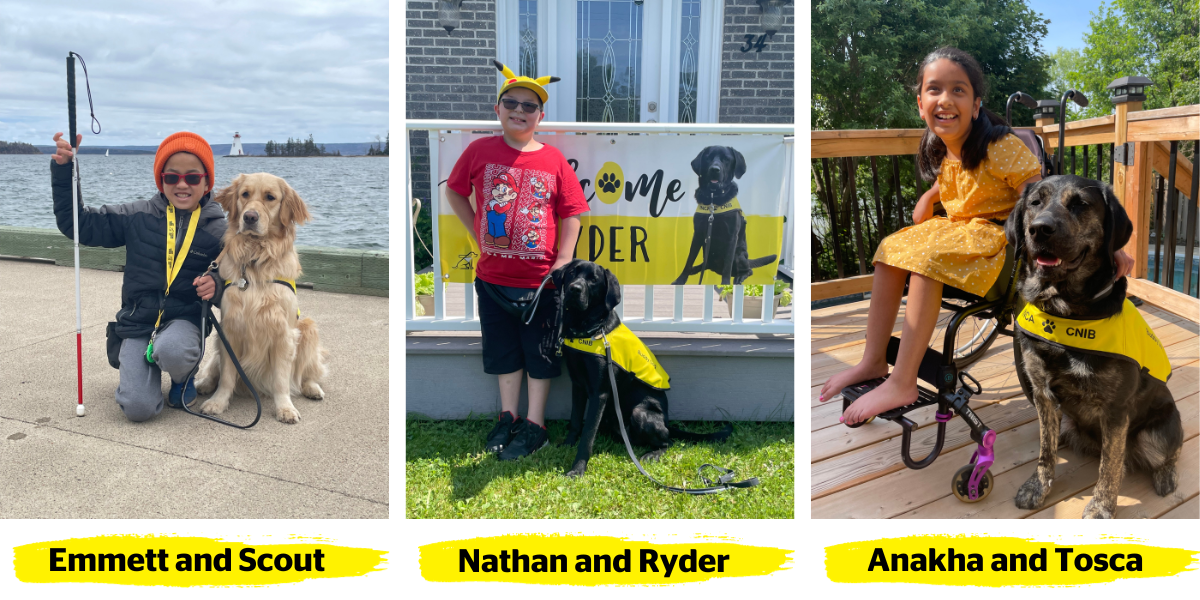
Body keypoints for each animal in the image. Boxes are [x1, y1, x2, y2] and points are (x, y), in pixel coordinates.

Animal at [552, 260, 729, 475]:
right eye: (571, 273)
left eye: (593, 279)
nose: (574, 289)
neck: (589, 328)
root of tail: (667, 422)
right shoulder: (577, 384)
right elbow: (576, 421)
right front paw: (567, 444)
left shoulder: (599, 393)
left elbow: (587, 435)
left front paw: (578, 468)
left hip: (640, 413)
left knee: (668, 442)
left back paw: (652, 454)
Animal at [676, 146, 777, 284]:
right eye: (708, 157)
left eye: (726, 159)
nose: (714, 169)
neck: (714, 198)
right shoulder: (698, 234)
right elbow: (689, 260)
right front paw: (679, 280)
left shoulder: (731, 237)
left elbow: (727, 267)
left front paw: (725, 284)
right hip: (707, 250)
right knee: (706, 264)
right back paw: (696, 269)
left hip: (739, 255)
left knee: (749, 270)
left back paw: (739, 277)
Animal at [1003, 172, 1180, 516]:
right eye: (1035, 203)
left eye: (1080, 204)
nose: (1039, 229)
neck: (1064, 312)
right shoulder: (1043, 396)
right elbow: (1045, 453)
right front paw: (1037, 487)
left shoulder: (1115, 410)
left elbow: (1109, 466)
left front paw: (1100, 507)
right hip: (1067, 420)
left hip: (1155, 433)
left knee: (1168, 451)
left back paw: (1166, 475)